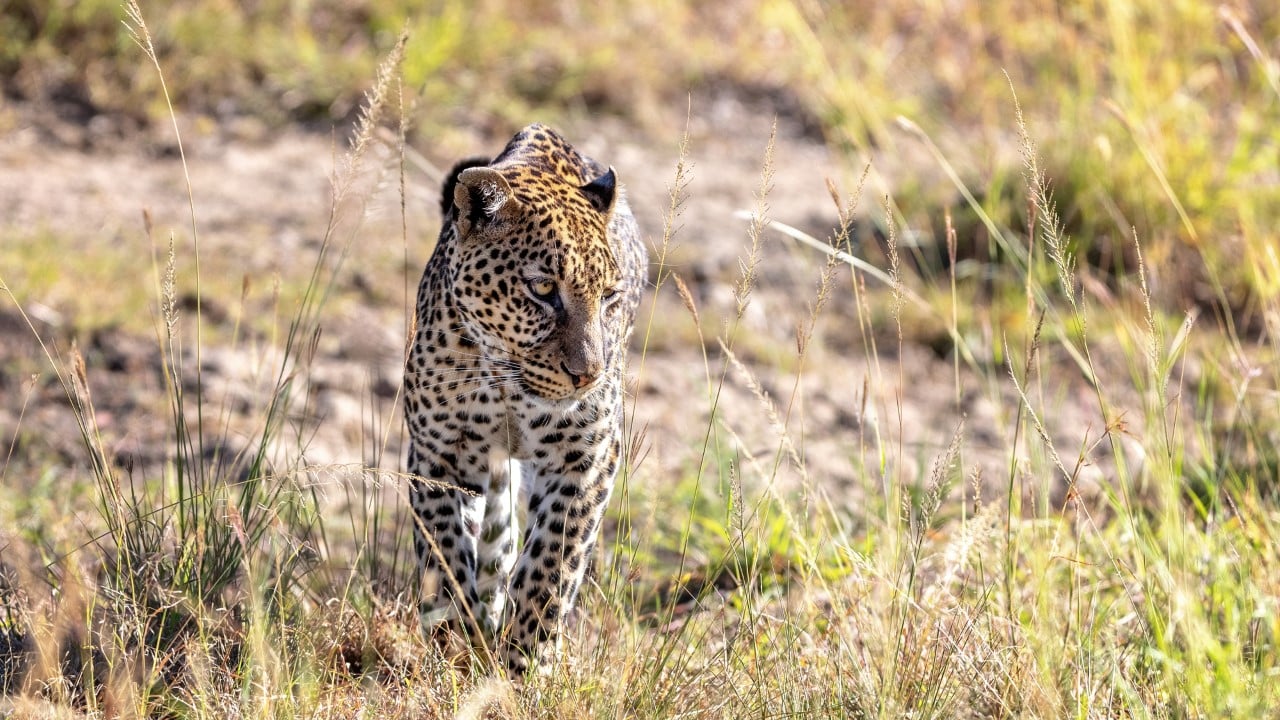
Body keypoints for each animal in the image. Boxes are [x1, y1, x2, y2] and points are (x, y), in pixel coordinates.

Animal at [403, 123, 647, 674]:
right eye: (542, 289)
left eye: (610, 298)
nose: (588, 374)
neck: (507, 381)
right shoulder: (439, 455)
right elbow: (445, 557)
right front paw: (454, 646)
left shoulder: (585, 459)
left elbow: (550, 566)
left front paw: (523, 665)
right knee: (496, 536)